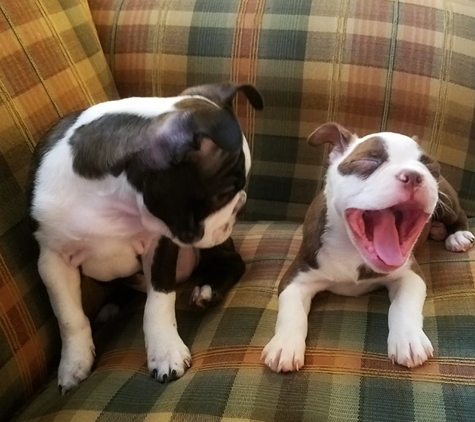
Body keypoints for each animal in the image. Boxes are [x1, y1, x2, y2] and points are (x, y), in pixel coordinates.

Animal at [28, 81, 264, 392]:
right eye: (224, 194)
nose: (241, 204)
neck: (112, 201)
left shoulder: (162, 244)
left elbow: (158, 303)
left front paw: (165, 352)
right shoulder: (51, 260)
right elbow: (69, 316)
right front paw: (74, 364)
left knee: (232, 262)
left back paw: (207, 289)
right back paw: (111, 306)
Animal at [262, 121, 474, 372]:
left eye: (430, 166)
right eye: (369, 161)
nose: (414, 175)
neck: (352, 249)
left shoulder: (410, 275)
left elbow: (403, 306)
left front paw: (409, 339)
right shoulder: (296, 278)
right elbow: (291, 311)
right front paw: (284, 344)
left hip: (447, 198)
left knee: (458, 214)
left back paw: (457, 235)